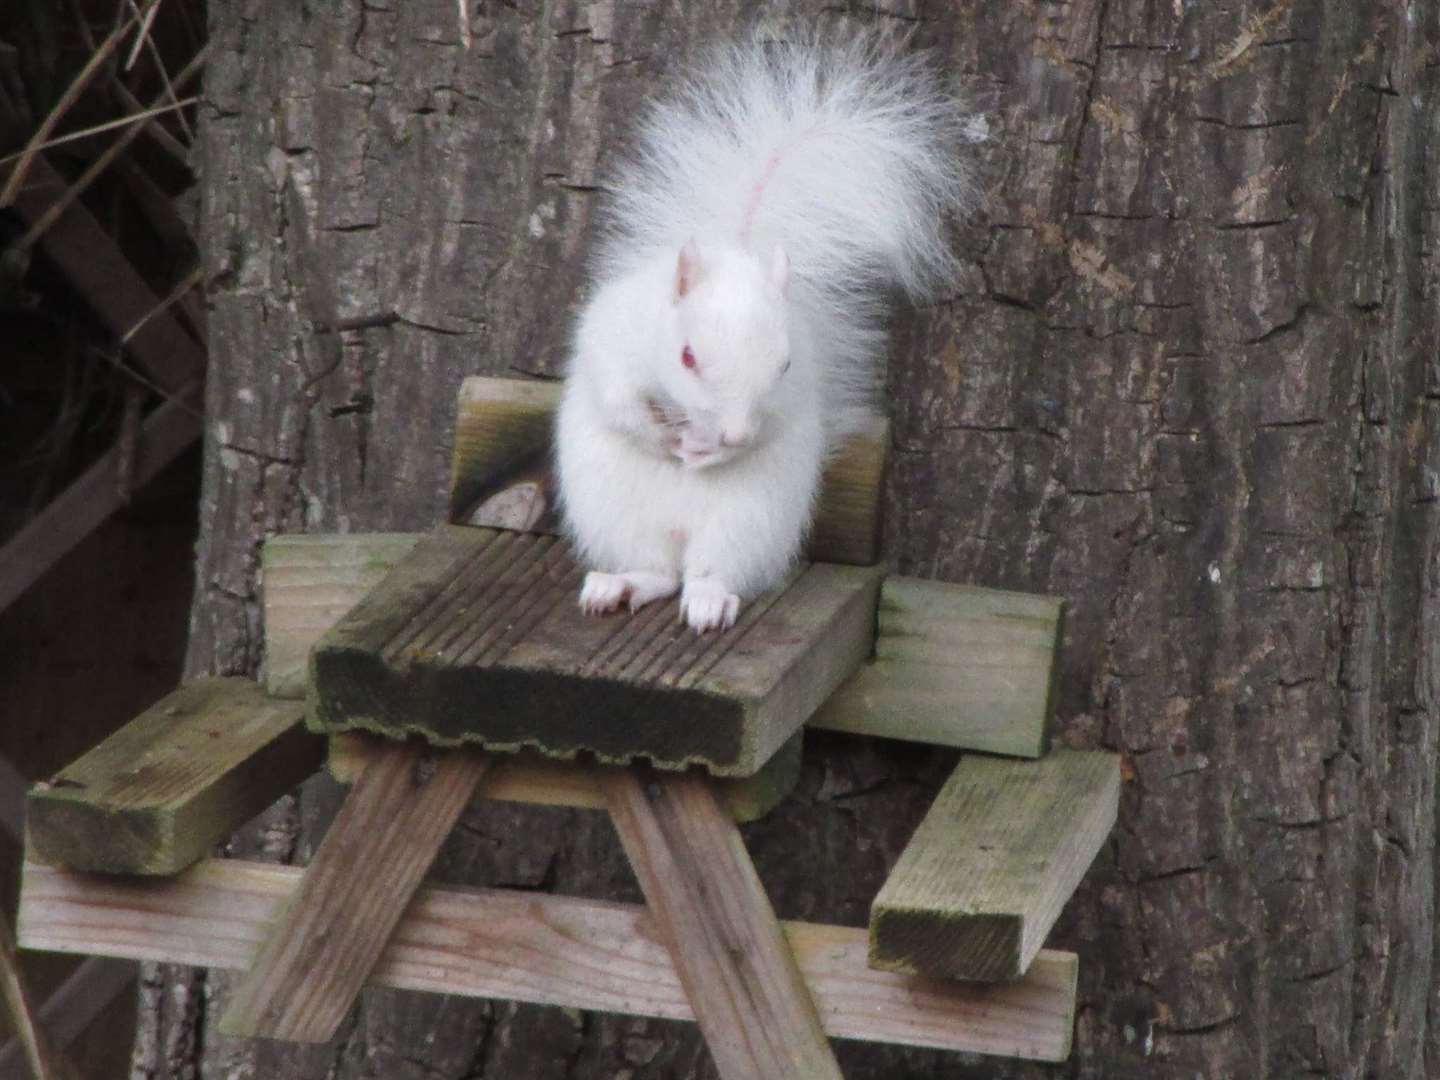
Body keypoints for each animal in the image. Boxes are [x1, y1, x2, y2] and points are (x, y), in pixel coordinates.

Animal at [555, 29, 973, 633]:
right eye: (686, 357)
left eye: (785, 365)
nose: (731, 436)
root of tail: (680, 535)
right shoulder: (613, 337)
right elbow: (619, 402)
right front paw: (664, 439)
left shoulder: (790, 397)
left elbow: (773, 425)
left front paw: (715, 452)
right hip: (615, 512)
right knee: (657, 572)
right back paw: (618, 584)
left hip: (749, 522)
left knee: (705, 574)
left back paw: (709, 602)